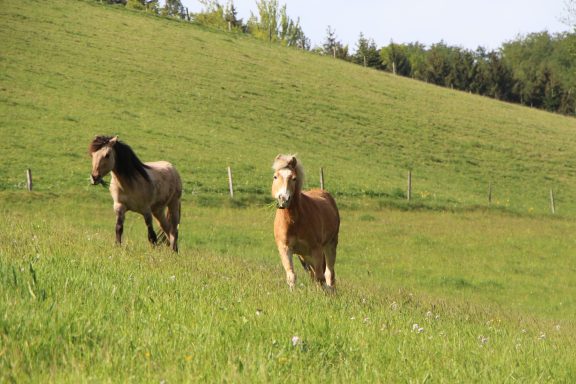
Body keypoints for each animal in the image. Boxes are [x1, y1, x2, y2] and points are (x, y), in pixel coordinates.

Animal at [272, 154, 340, 290]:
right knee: (314, 274)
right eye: (275, 177)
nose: (283, 199)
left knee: (329, 273)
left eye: (294, 178)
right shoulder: (285, 248)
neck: (294, 221)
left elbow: (320, 277)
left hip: (330, 244)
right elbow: (291, 275)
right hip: (304, 256)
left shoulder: (316, 249)